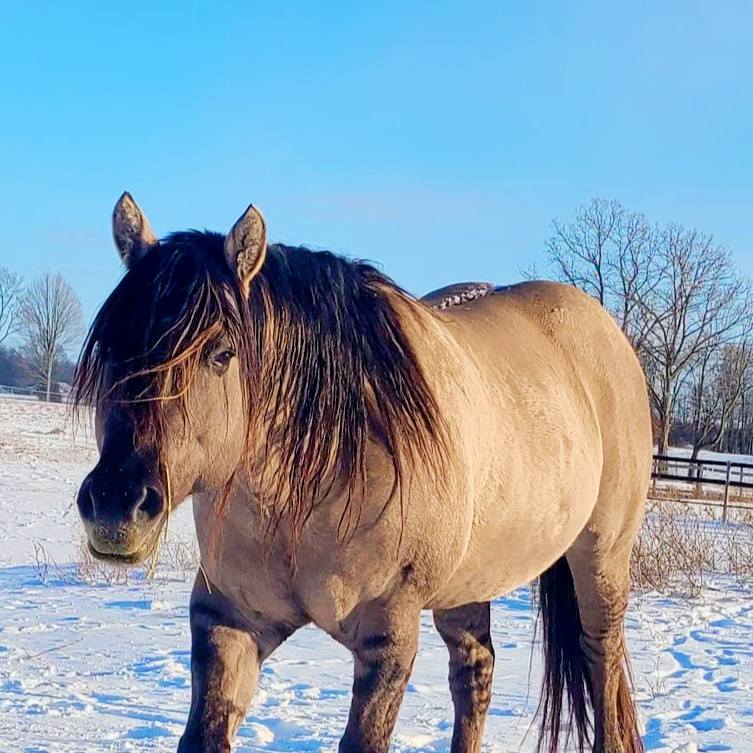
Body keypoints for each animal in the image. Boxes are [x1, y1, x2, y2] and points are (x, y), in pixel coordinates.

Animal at [73, 193, 652, 753]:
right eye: (109, 347)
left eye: (220, 353)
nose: (116, 504)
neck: (299, 496)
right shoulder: (229, 618)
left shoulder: (387, 636)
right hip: (469, 583)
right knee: (474, 675)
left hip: (600, 559)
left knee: (600, 662)